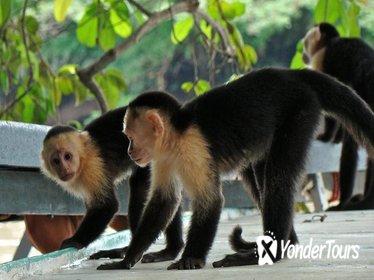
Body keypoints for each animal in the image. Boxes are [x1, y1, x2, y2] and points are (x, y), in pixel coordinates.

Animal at [39, 106, 183, 262]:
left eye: (67, 157)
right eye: (56, 161)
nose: (64, 169)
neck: (83, 157)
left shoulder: (93, 166)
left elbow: (107, 206)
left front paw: (75, 241)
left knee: (141, 189)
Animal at [97, 66, 374, 270]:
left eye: (130, 137)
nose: (130, 151)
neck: (176, 136)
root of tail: (291, 73)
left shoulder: (194, 147)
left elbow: (210, 201)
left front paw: (191, 258)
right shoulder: (162, 157)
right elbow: (164, 200)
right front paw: (127, 260)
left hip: (300, 111)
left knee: (278, 179)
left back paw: (268, 252)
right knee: (258, 179)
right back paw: (280, 244)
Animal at [302, 22, 374, 210]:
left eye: (305, 43)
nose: (304, 55)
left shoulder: (322, 58)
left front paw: (327, 137)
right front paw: (336, 138)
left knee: (352, 144)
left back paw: (344, 201)